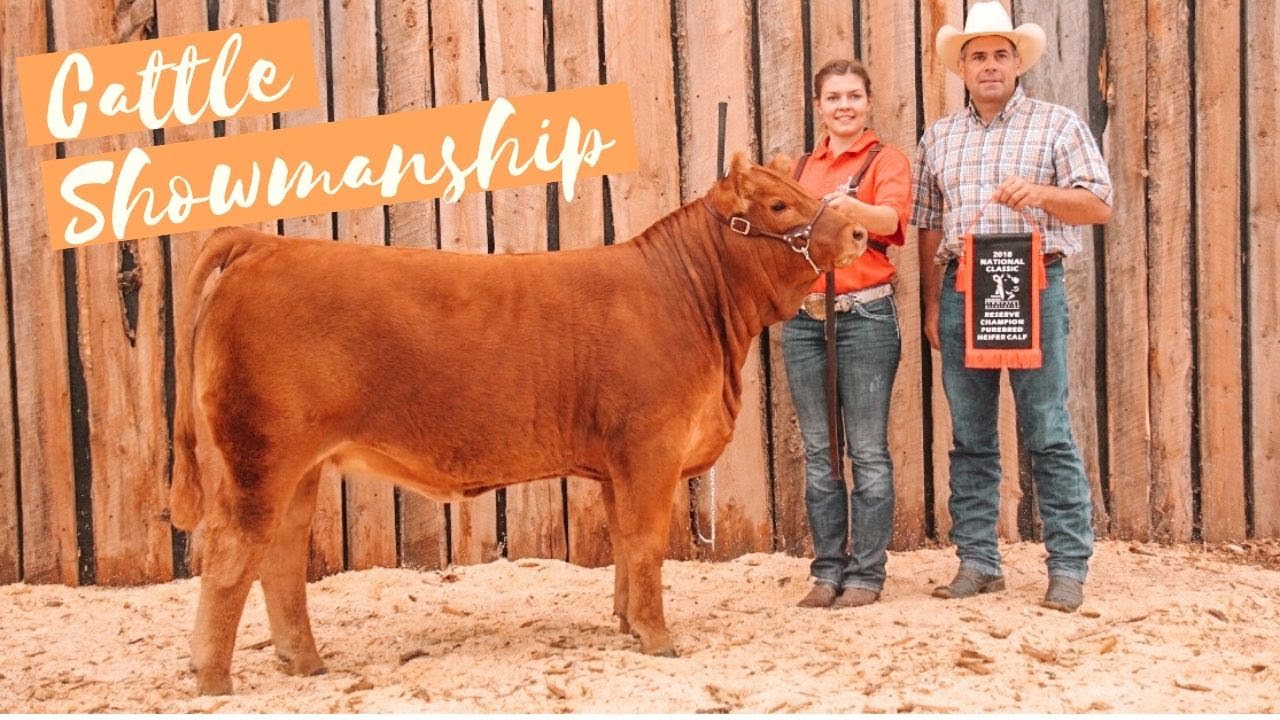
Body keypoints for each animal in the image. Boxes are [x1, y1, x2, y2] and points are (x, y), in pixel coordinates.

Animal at [169, 153, 867, 695]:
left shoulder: (615, 464)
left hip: (300, 467)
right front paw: (658, 636)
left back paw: (305, 662)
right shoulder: (650, 447)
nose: (860, 232)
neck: (690, 300)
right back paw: (213, 678)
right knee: (231, 553)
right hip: (259, 458)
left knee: (280, 556)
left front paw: (625, 623)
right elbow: (646, 543)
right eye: (779, 204)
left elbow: (623, 544)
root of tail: (266, 243)